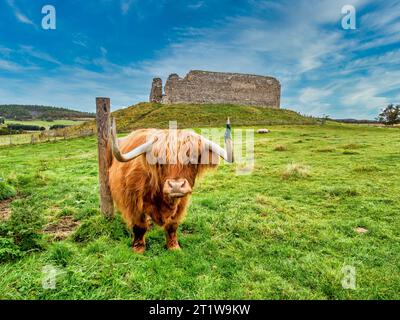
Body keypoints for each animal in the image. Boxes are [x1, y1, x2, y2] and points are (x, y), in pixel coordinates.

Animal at [108, 119, 233, 254]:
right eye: (160, 159)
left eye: (193, 157)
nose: (176, 186)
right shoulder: (132, 203)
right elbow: (139, 226)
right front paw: (138, 248)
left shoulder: (181, 204)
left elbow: (172, 226)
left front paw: (174, 247)